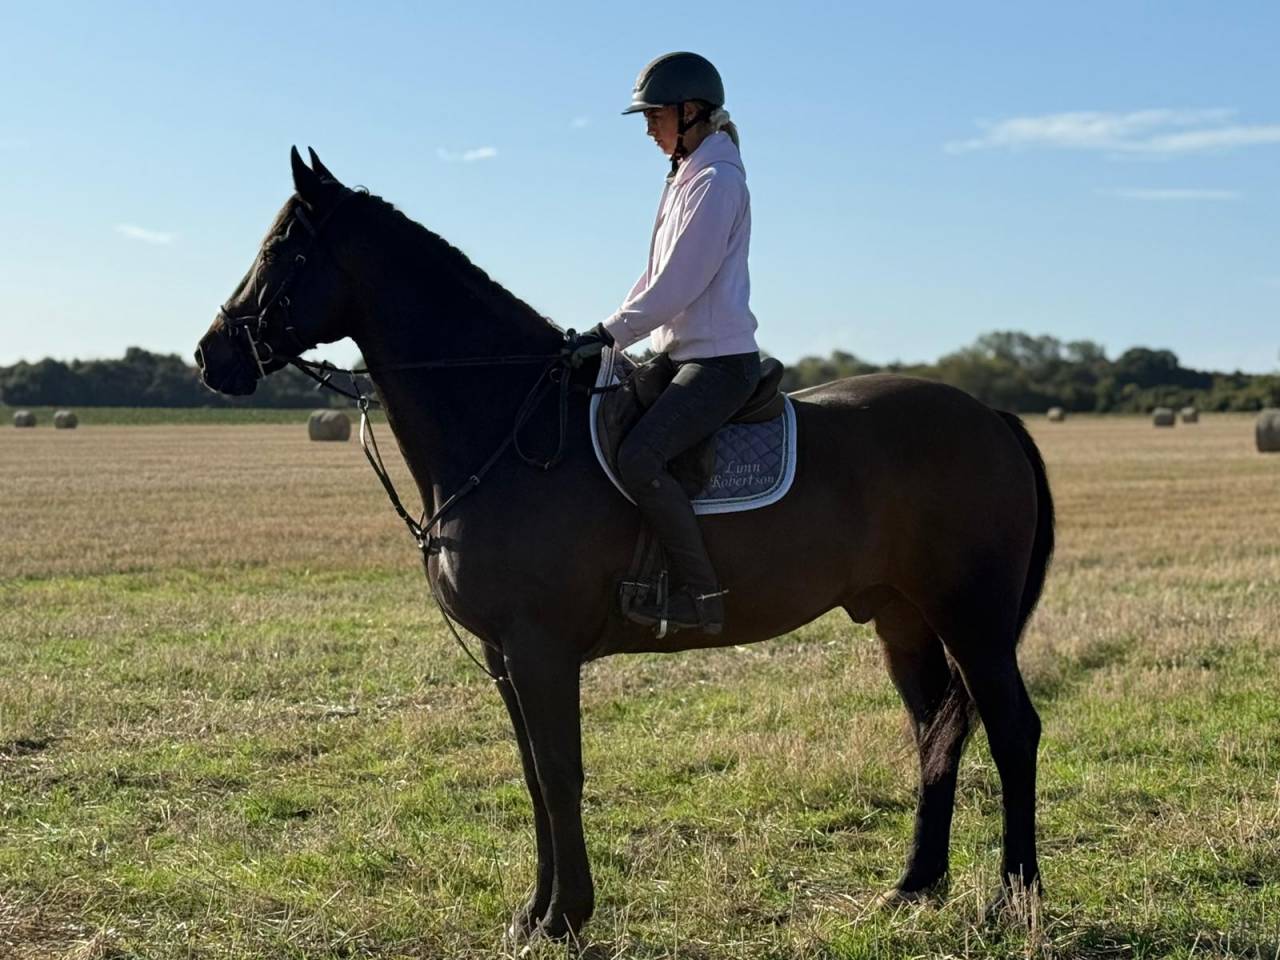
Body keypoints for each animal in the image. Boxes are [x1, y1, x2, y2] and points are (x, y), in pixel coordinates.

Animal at [195, 148, 1055, 946]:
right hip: (903, 619)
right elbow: (534, 779)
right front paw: (535, 916)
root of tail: (993, 417)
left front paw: (566, 917)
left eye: (280, 250)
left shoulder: (540, 650)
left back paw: (1014, 901)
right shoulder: (507, 656)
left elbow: (560, 775)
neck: (508, 424)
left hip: (972, 618)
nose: (211, 356)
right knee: (937, 733)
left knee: (1012, 731)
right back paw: (914, 886)